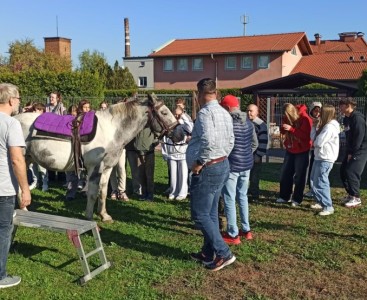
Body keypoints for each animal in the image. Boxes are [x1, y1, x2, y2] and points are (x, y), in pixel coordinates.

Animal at [15, 94, 183, 223]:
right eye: (164, 112)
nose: (180, 134)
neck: (111, 129)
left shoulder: (107, 169)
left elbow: (102, 192)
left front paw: (104, 216)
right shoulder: (95, 168)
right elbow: (92, 193)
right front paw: (89, 218)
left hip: (26, 159)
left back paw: (24, 210)